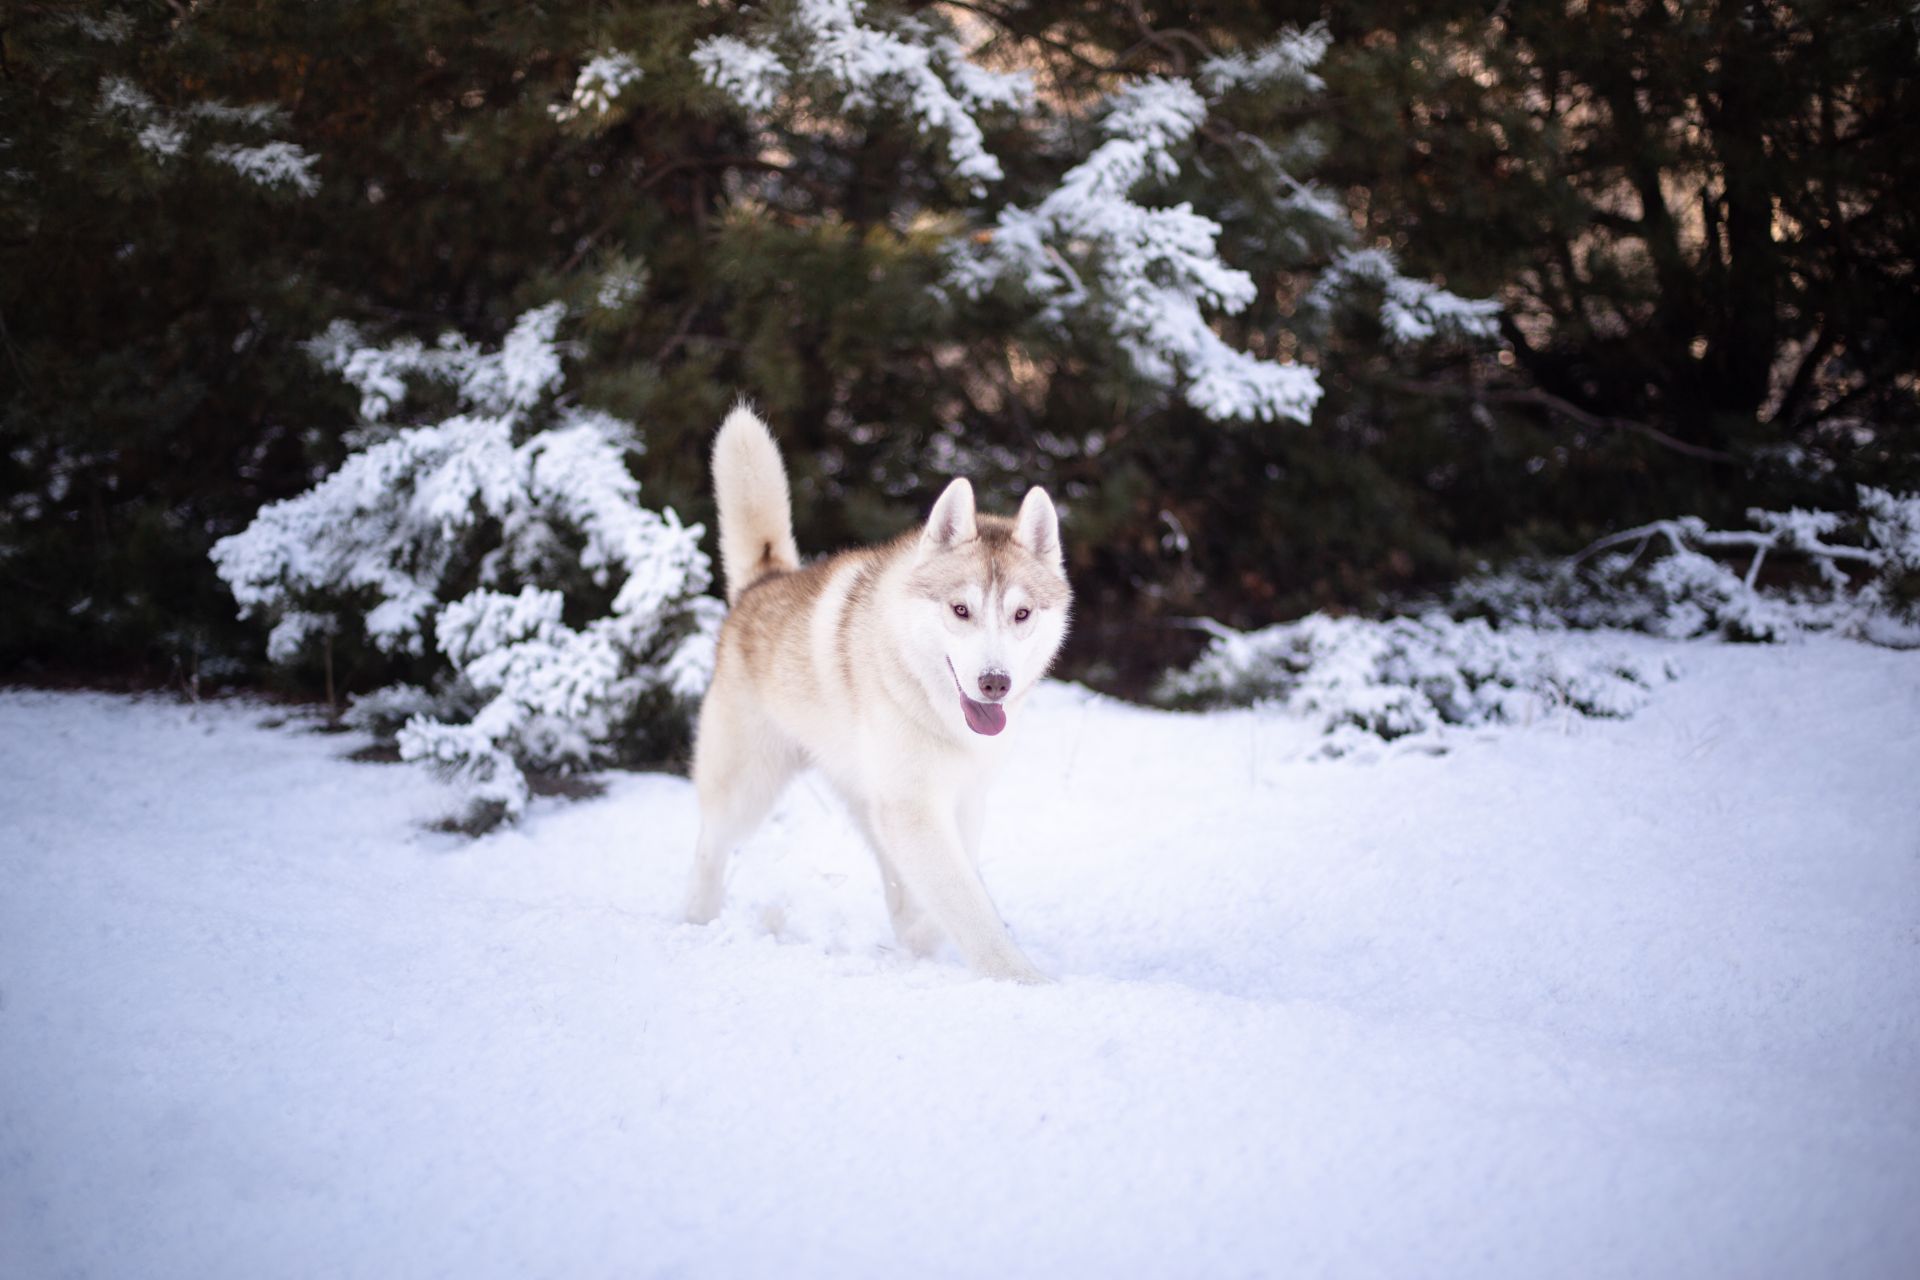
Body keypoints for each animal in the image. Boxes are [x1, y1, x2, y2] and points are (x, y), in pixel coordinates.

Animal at [683, 404, 1075, 990]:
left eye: (1021, 614)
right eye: (960, 610)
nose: (995, 683)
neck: (936, 710)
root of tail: (762, 586)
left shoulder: (959, 801)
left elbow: (955, 888)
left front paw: (924, 935)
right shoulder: (912, 809)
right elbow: (966, 902)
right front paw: (1023, 980)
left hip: (858, 793)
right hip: (746, 789)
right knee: (709, 845)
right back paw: (696, 922)